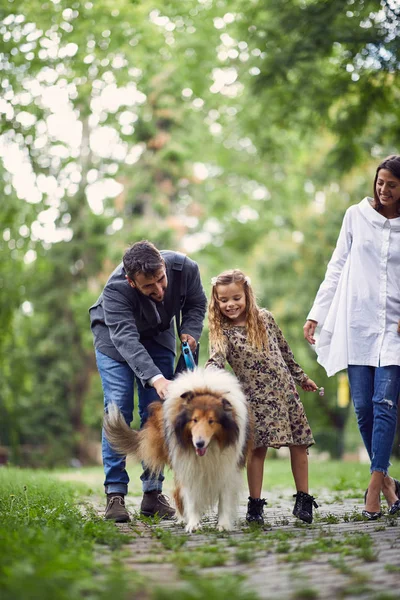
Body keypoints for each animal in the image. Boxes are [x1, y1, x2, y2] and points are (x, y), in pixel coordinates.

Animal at [104, 368, 252, 532]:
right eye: (194, 420)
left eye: (211, 421)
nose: (199, 443)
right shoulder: (188, 464)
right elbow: (191, 497)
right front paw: (193, 524)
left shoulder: (228, 466)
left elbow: (224, 498)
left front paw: (223, 525)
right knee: (178, 492)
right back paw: (181, 519)